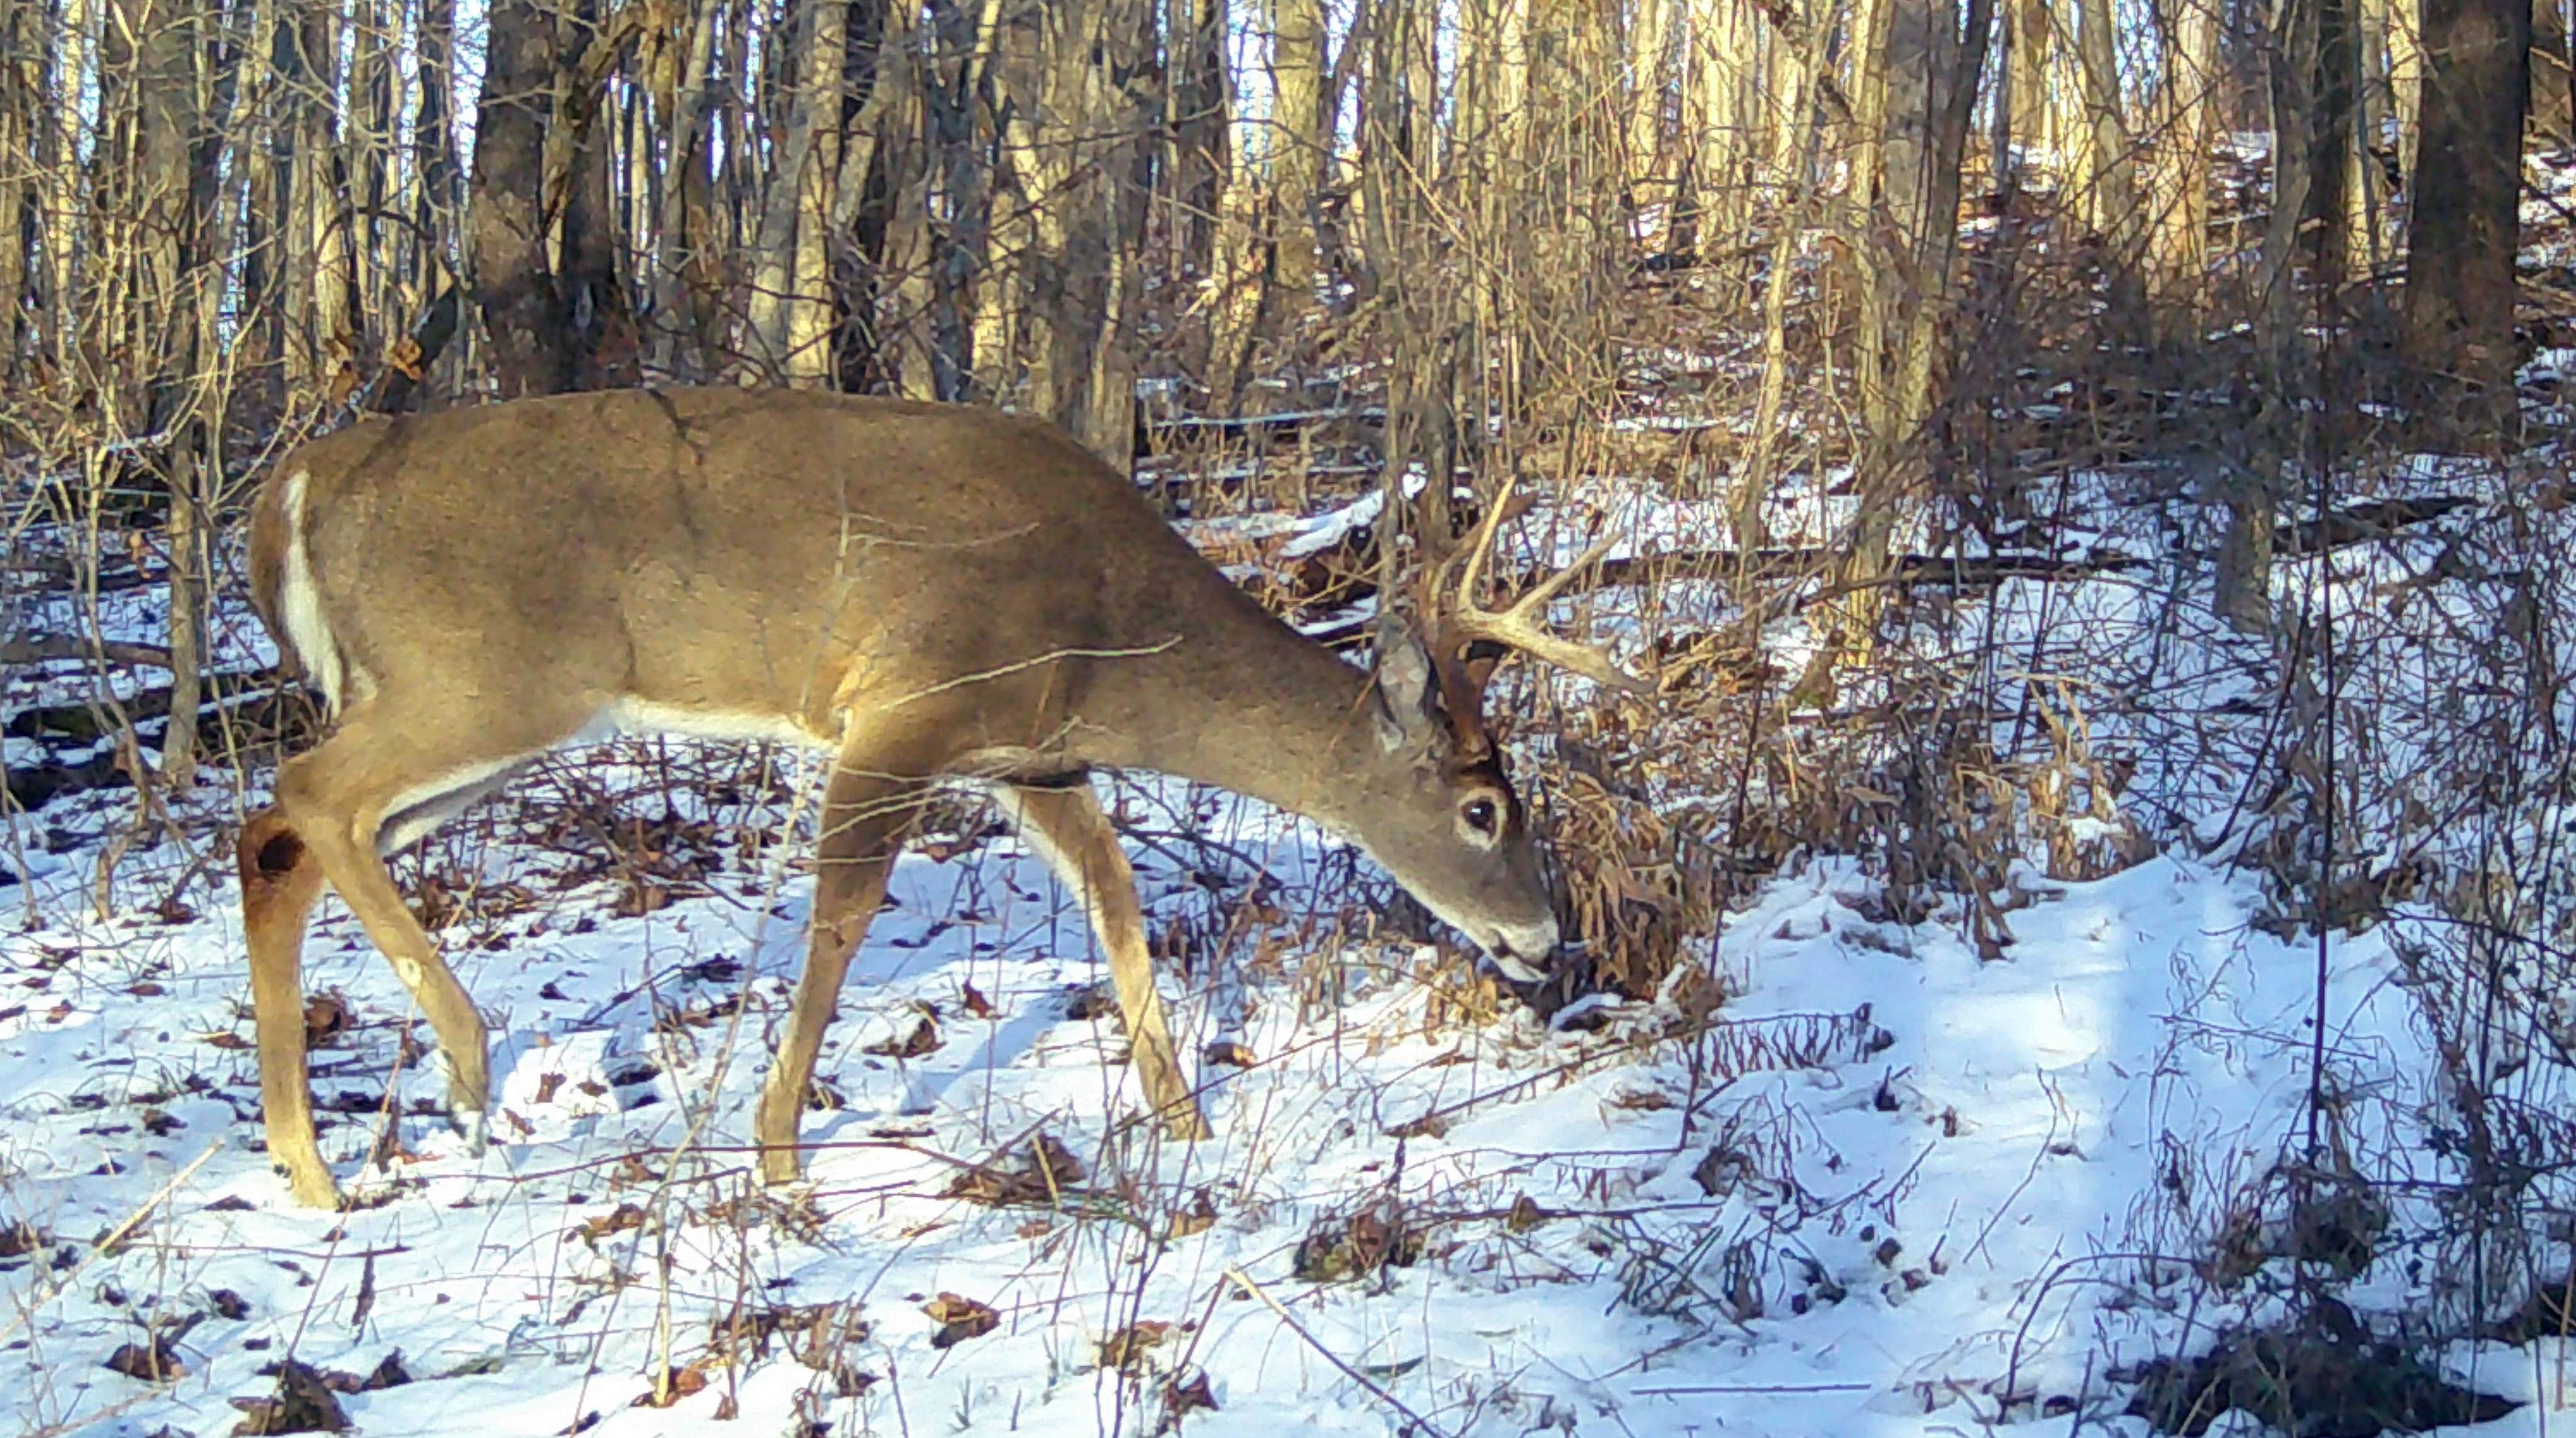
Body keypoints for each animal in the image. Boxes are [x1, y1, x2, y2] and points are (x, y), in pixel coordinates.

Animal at [234, 385, 1646, 1209]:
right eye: (1484, 812)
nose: (1548, 940)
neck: (1112, 634)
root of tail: (292, 485)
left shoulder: (1034, 756)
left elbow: (1119, 902)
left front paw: (1180, 1110)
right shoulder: (910, 702)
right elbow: (840, 919)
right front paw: (780, 1155)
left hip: (471, 712)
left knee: (280, 834)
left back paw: (311, 1167)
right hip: (489, 675)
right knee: (304, 790)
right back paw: (464, 1063)